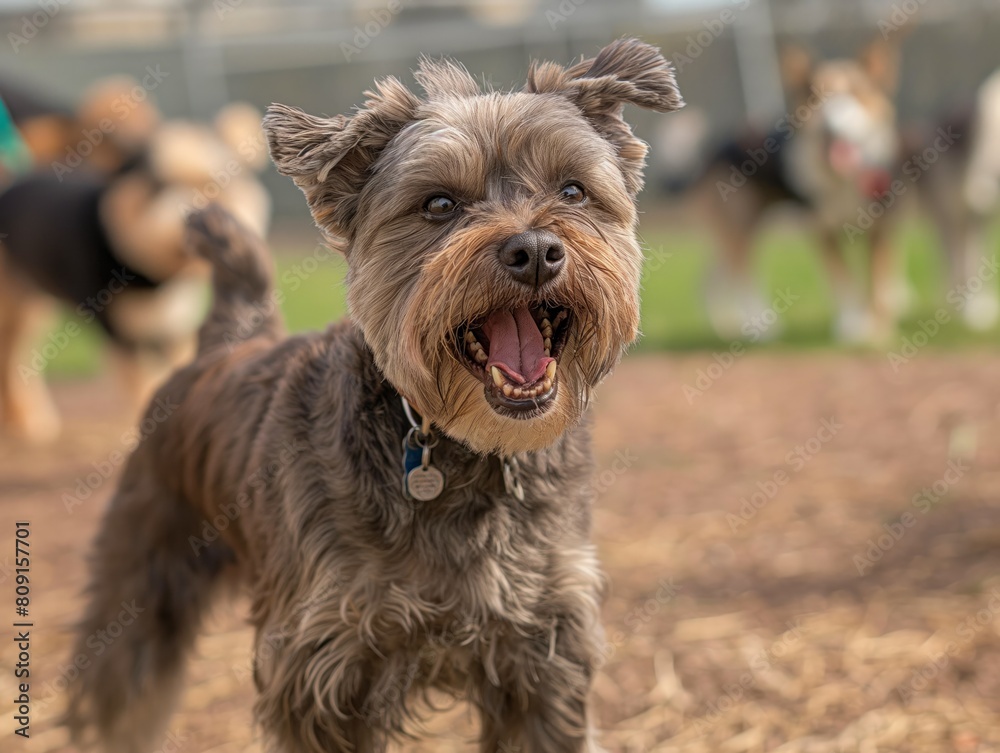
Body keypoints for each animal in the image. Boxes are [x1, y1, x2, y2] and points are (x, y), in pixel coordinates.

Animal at [0, 79, 270, 444]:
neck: (156, 276)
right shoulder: (122, 335)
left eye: (219, 181)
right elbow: (143, 385)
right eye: (157, 185)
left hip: (32, 308)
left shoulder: (176, 331)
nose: (192, 216)